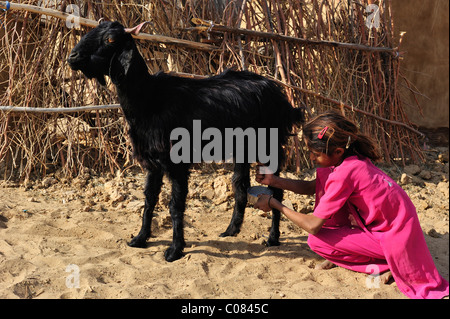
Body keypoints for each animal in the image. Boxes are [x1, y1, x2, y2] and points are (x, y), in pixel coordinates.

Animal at [68, 21, 304, 262]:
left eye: (111, 40)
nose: (72, 56)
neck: (150, 98)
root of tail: (281, 97)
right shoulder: (152, 162)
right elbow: (149, 200)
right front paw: (140, 239)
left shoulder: (177, 162)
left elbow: (175, 206)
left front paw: (174, 250)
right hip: (242, 148)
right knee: (240, 185)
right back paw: (231, 230)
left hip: (269, 145)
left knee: (276, 190)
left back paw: (273, 238)